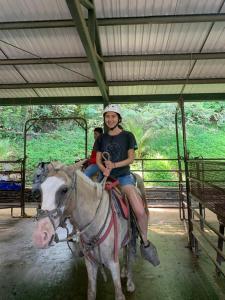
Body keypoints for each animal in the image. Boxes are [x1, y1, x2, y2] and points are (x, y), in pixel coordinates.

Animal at [33, 162, 146, 300]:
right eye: (42, 190)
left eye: (64, 190)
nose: (39, 237)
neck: (95, 224)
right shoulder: (90, 263)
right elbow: (91, 292)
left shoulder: (113, 262)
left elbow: (119, 293)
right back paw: (124, 272)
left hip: (133, 234)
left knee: (130, 256)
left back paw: (129, 282)